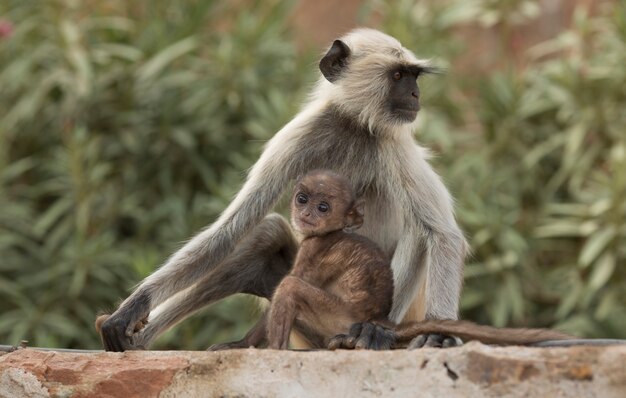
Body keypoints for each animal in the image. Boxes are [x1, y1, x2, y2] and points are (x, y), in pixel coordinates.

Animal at [266, 169, 392, 350]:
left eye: (323, 208)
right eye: (302, 199)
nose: (306, 213)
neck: (331, 232)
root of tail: (378, 318)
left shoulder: (310, 248)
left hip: (339, 316)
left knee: (289, 286)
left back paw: (276, 348)